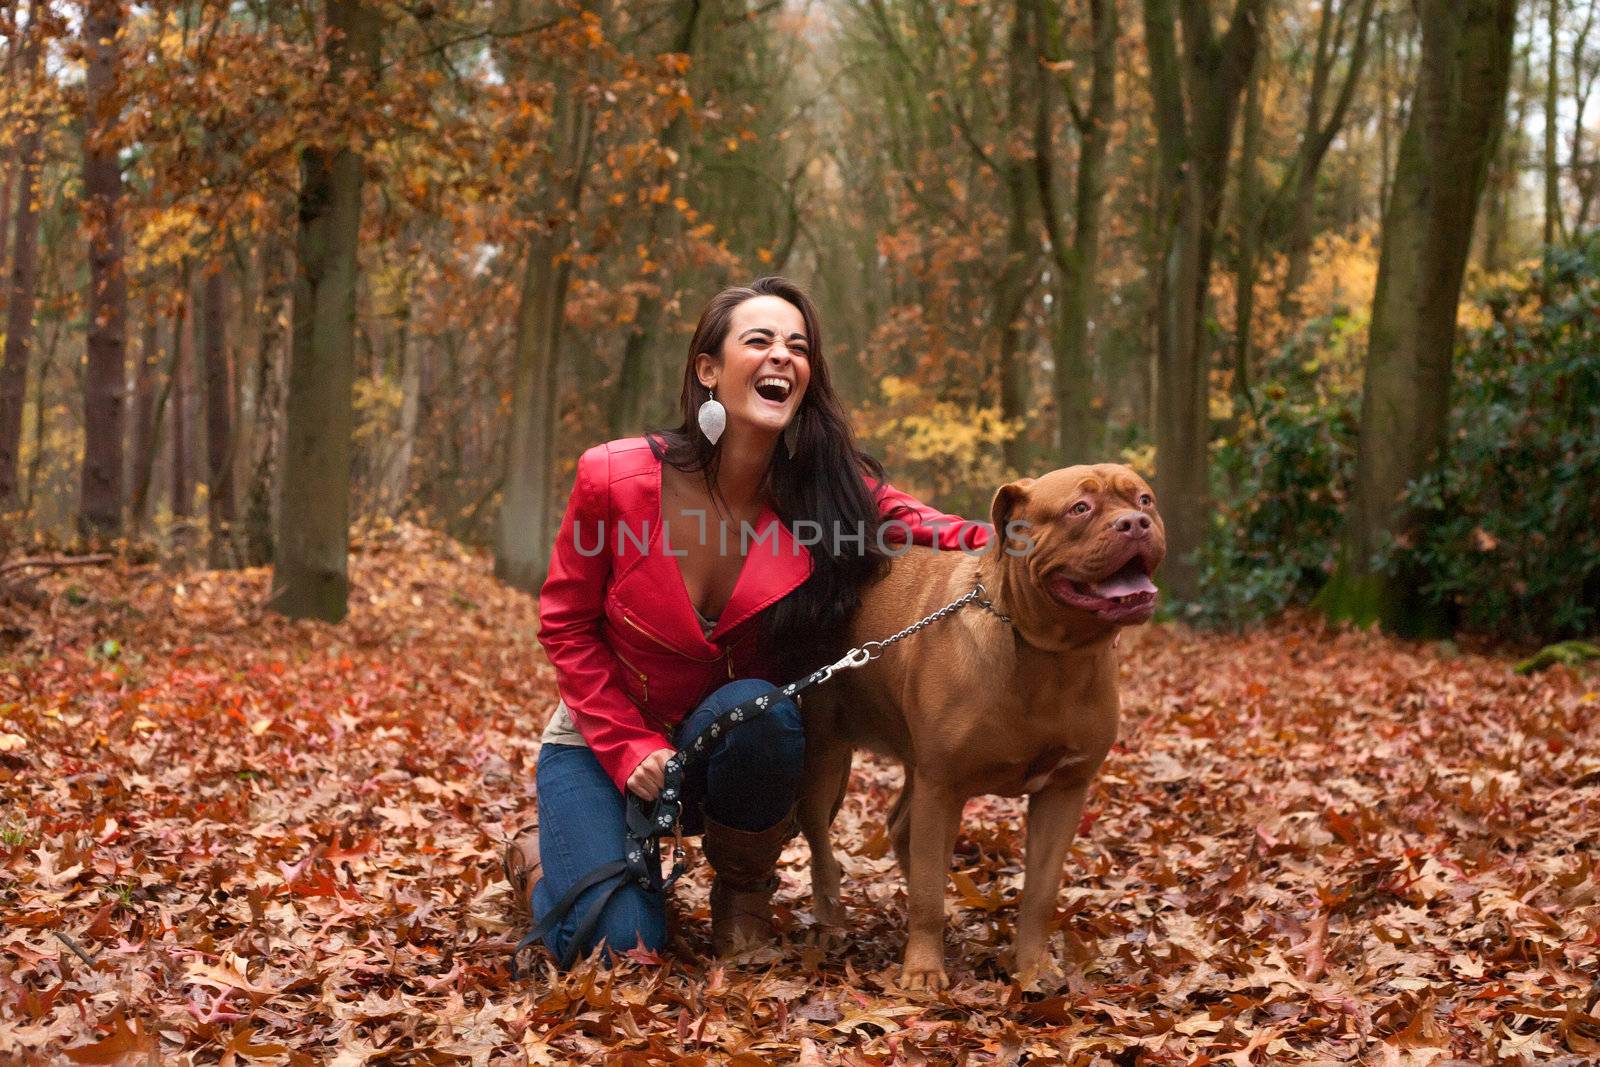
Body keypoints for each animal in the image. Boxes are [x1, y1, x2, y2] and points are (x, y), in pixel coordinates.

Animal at [800, 463, 1164, 991]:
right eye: (1080, 508)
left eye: (1145, 499)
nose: (1136, 523)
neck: (1050, 655)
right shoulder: (943, 785)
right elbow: (927, 891)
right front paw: (923, 970)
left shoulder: (1064, 790)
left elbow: (1040, 892)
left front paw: (1034, 967)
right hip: (825, 758)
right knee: (820, 843)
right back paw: (831, 924)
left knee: (901, 828)